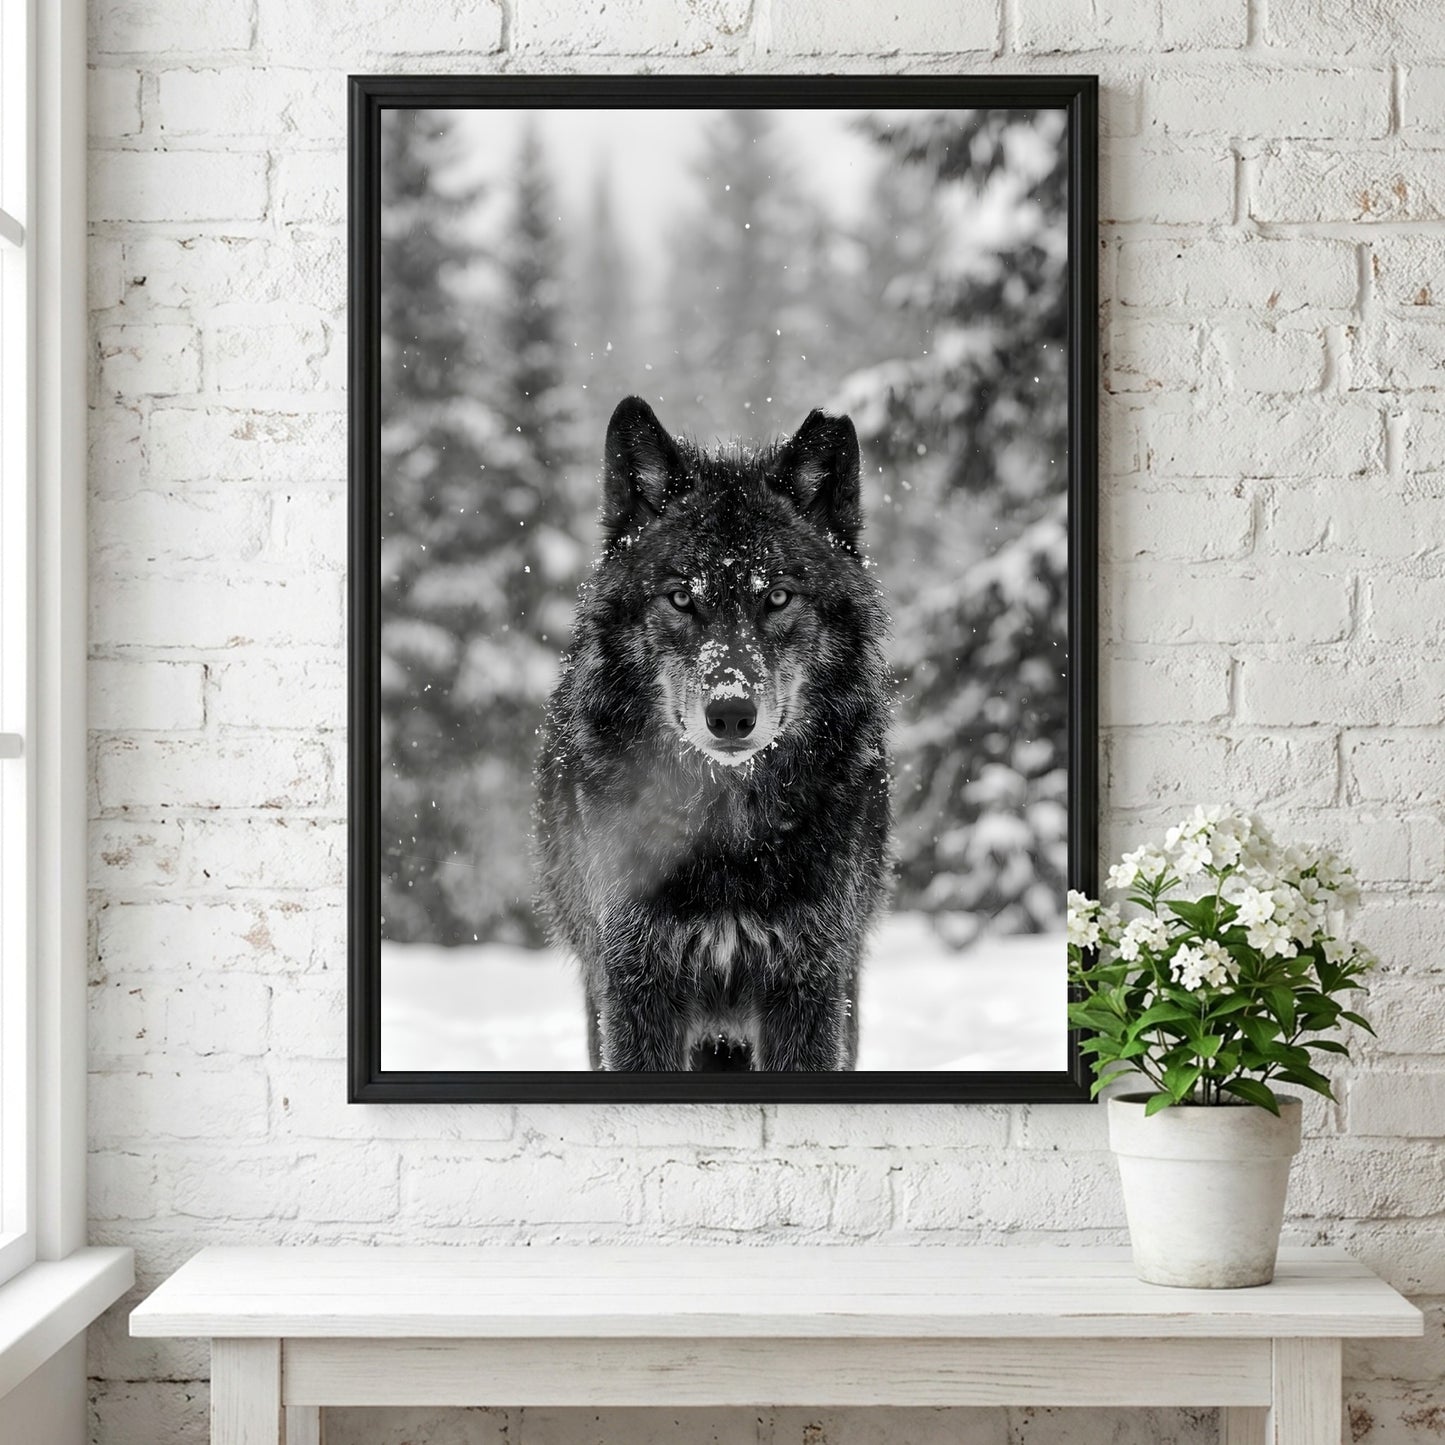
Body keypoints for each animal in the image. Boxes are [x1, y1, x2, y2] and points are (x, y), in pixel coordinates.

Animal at [534, 397, 891, 1071]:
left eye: (777, 596)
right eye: (681, 598)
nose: (730, 713)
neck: (727, 834)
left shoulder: (811, 980)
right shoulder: (633, 979)